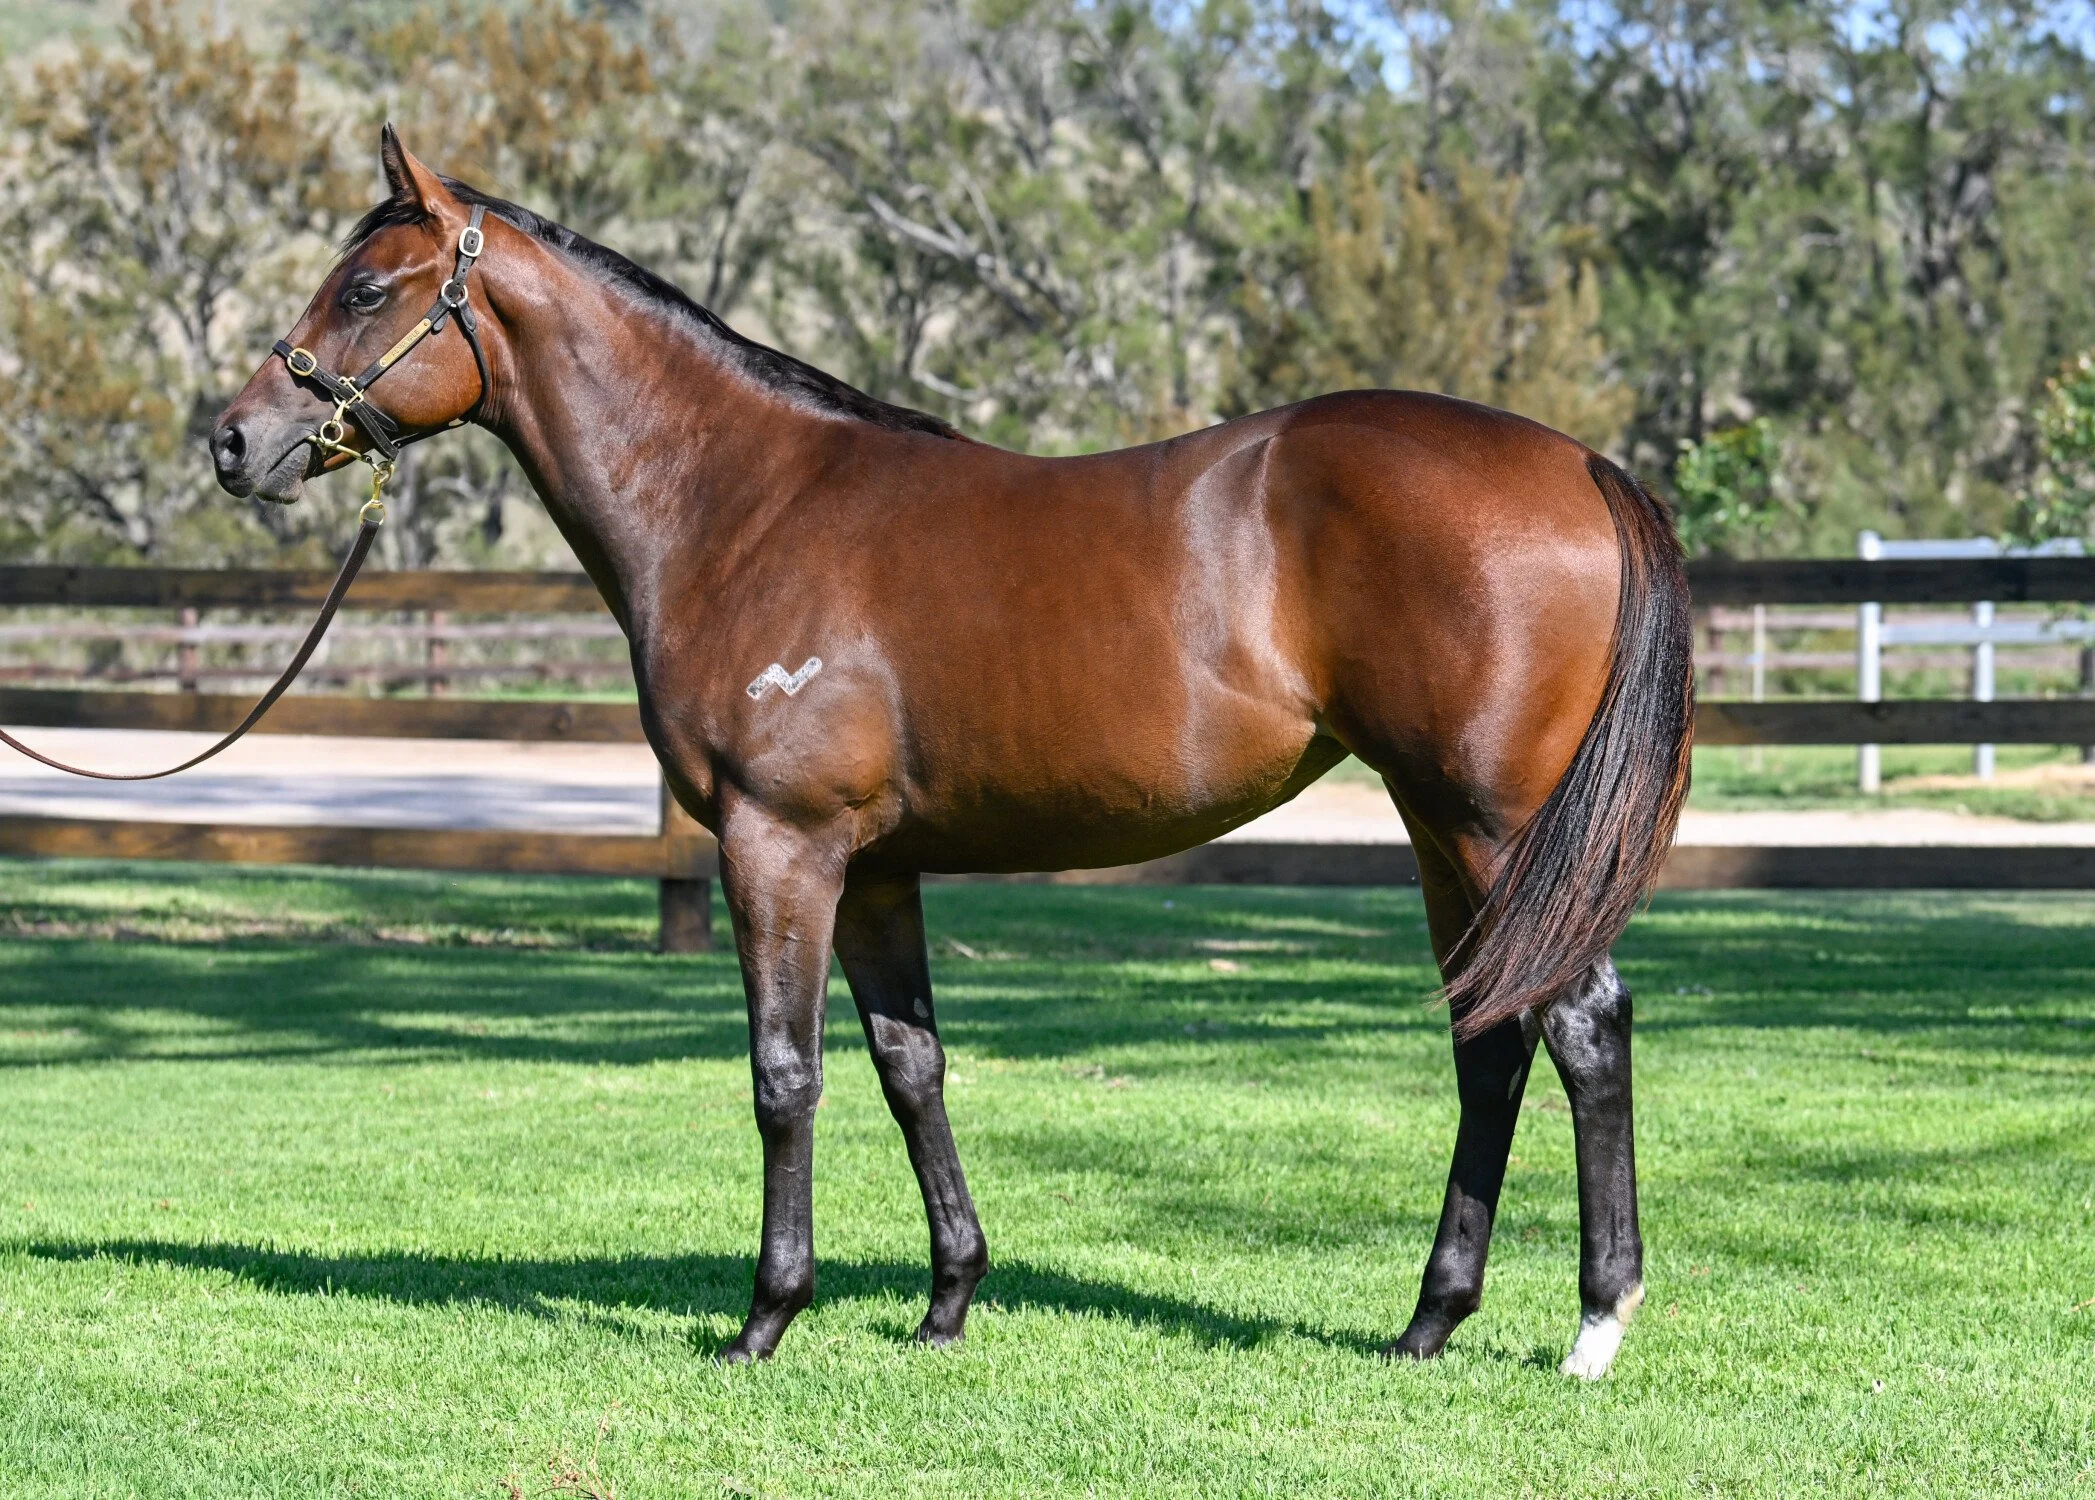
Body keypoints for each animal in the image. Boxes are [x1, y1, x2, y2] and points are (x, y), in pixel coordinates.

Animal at [211, 129, 1693, 1379]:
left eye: (364, 290)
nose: (233, 442)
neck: (740, 505)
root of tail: (1580, 468)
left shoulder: (779, 845)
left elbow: (785, 1074)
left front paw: (765, 1318)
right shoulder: (874, 869)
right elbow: (908, 1066)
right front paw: (945, 1302)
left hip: (1494, 825)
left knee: (1582, 1025)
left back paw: (1593, 1327)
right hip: (1437, 831)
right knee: (1490, 1036)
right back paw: (1427, 1323)